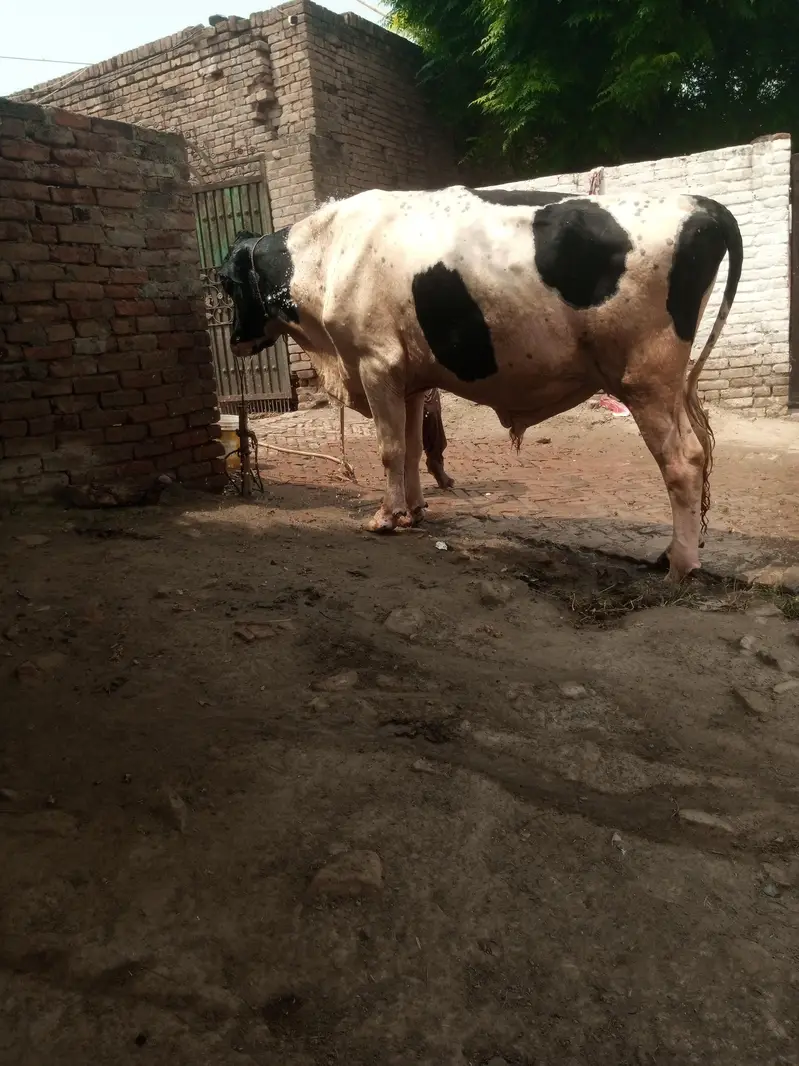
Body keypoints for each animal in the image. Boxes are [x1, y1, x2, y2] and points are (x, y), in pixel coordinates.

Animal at [217, 184, 743, 581]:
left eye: (225, 283)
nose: (235, 340)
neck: (329, 254)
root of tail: (700, 204)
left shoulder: (376, 364)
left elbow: (390, 449)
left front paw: (385, 517)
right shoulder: (410, 379)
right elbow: (412, 448)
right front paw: (414, 510)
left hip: (646, 381)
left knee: (683, 462)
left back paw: (680, 565)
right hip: (666, 387)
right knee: (696, 452)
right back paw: (673, 553)